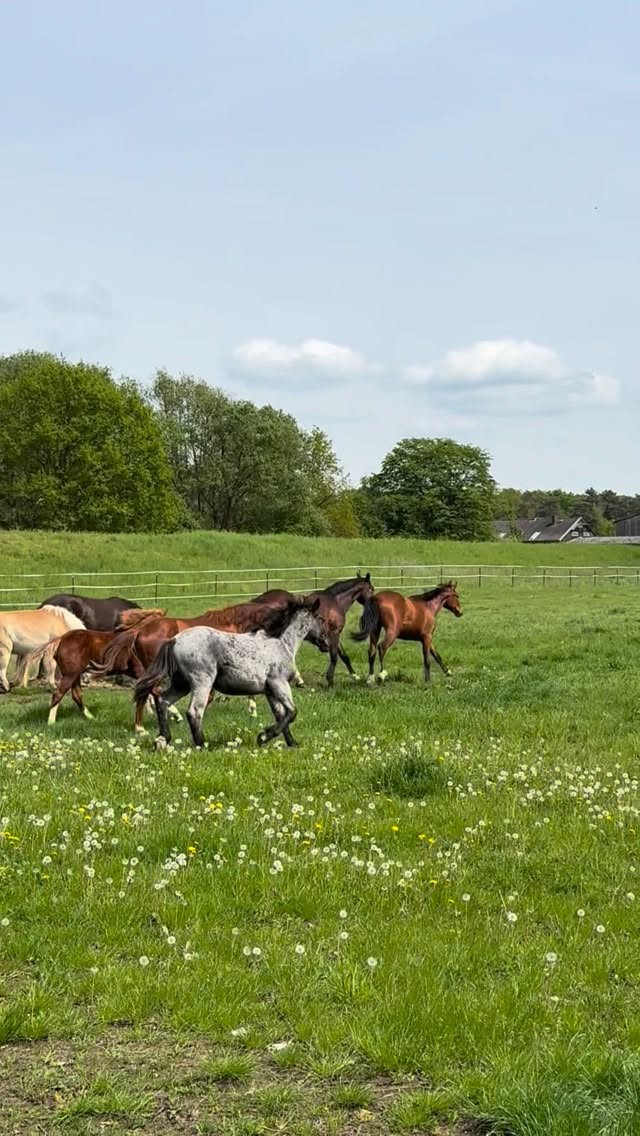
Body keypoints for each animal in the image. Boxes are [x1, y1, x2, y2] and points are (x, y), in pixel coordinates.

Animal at [20, 609, 169, 724]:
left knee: (76, 695)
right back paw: (51, 722)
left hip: (75, 675)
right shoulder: (141, 672)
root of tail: (61, 640)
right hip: (70, 675)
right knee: (58, 694)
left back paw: (91, 717)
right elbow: (155, 691)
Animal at [92, 599, 316, 733]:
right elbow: (208, 698)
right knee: (151, 693)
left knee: (146, 693)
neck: (232, 624)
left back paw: (145, 724)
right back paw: (154, 722)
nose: (321, 642)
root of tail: (140, 629)